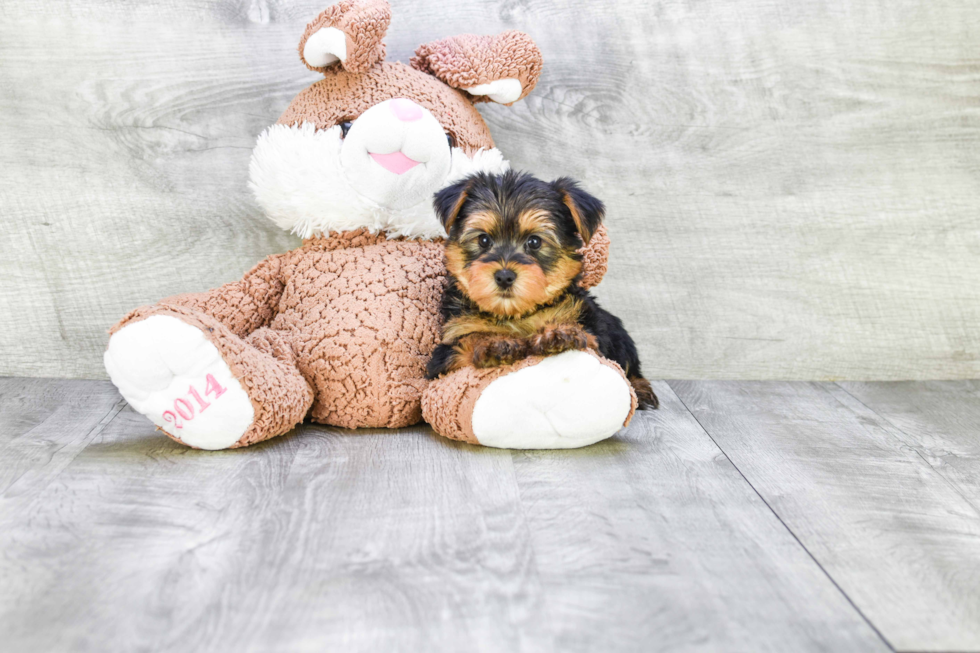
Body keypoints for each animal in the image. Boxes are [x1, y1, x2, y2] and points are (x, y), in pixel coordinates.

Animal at [424, 171, 660, 410]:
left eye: (534, 242)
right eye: (483, 239)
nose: (504, 276)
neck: (516, 314)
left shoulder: (594, 334)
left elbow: (589, 339)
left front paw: (559, 334)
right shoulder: (444, 353)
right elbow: (466, 343)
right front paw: (495, 344)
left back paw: (641, 388)